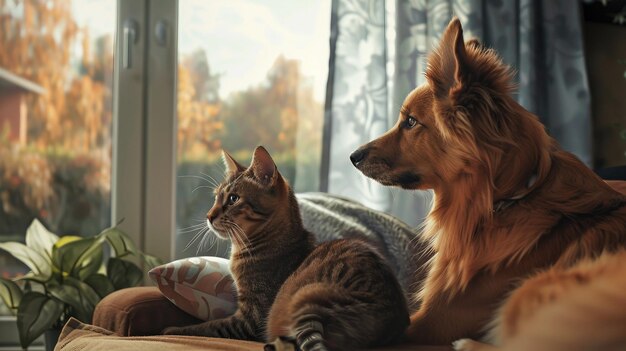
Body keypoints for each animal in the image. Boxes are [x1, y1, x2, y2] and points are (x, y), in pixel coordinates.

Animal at [161, 146, 410, 351]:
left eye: (233, 199)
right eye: (216, 198)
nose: (208, 216)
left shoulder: (251, 318)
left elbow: (207, 326)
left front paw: (171, 330)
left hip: (304, 299)